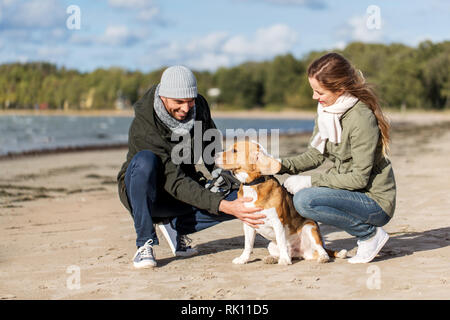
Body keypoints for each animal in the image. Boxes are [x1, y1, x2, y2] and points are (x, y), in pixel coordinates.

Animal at [214, 140, 348, 264]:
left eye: (234, 151)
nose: (214, 154)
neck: (253, 185)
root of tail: (299, 252)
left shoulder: (278, 222)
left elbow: (281, 241)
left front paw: (284, 260)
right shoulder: (248, 223)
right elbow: (248, 245)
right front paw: (243, 259)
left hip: (310, 228)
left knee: (321, 249)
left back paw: (322, 257)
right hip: (271, 245)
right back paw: (272, 258)